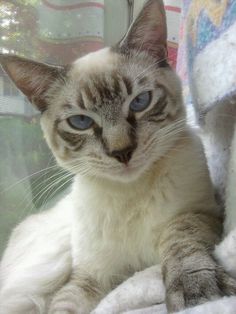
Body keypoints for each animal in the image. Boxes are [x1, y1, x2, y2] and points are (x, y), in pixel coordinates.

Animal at [0, 0, 236, 314]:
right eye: (80, 122)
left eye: (140, 102)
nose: (121, 152)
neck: (129, 192)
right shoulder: (90, 278)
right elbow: (64, 305)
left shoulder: (198, 214)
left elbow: (182, 244)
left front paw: (197, 292)